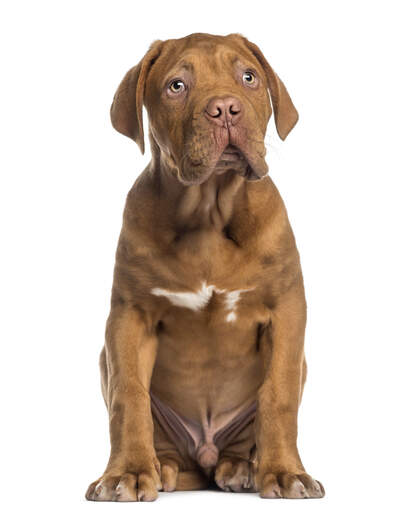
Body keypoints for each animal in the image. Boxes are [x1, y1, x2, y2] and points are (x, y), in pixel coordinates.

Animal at [83, 31, 324, 500]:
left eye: (248, 77)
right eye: (177, 86)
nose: (225, 108)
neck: (209, 213)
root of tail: (206, 454)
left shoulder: (287, 312)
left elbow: (279, 393)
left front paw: (285, 472)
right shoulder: (129, 317)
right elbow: (128, 396)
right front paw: (126, 473)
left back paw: (243, 468)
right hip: (107, 361)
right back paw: (161, 468)